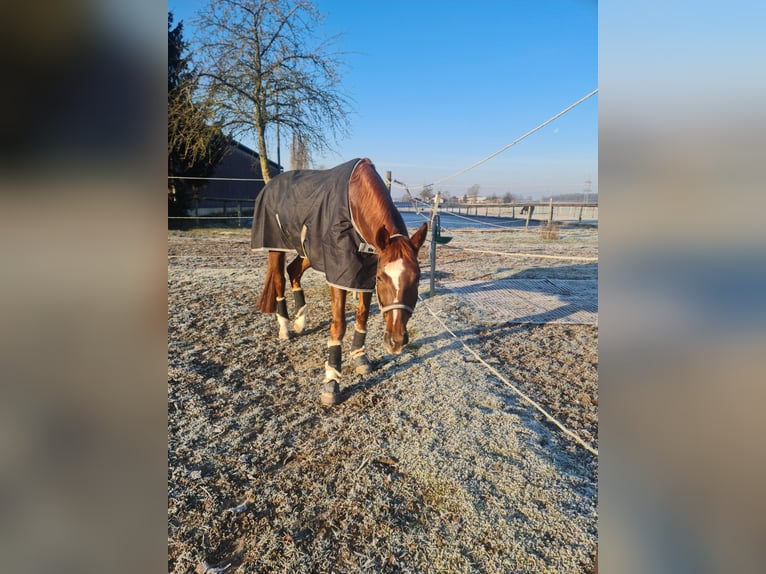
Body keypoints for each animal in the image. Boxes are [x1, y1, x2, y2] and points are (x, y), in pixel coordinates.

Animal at [254, 159, 428, 404]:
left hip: (308, 251)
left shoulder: (362, 274)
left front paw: (360, 357)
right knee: (279, 279)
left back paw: (300, 321)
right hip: (276, 247)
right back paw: (286, 328)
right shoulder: (340, 274)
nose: (395, 341)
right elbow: (338, 326)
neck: (355, 203)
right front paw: (331, 382)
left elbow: (362, 315)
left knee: (293, 271)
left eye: (418, 277)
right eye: (381, 278)